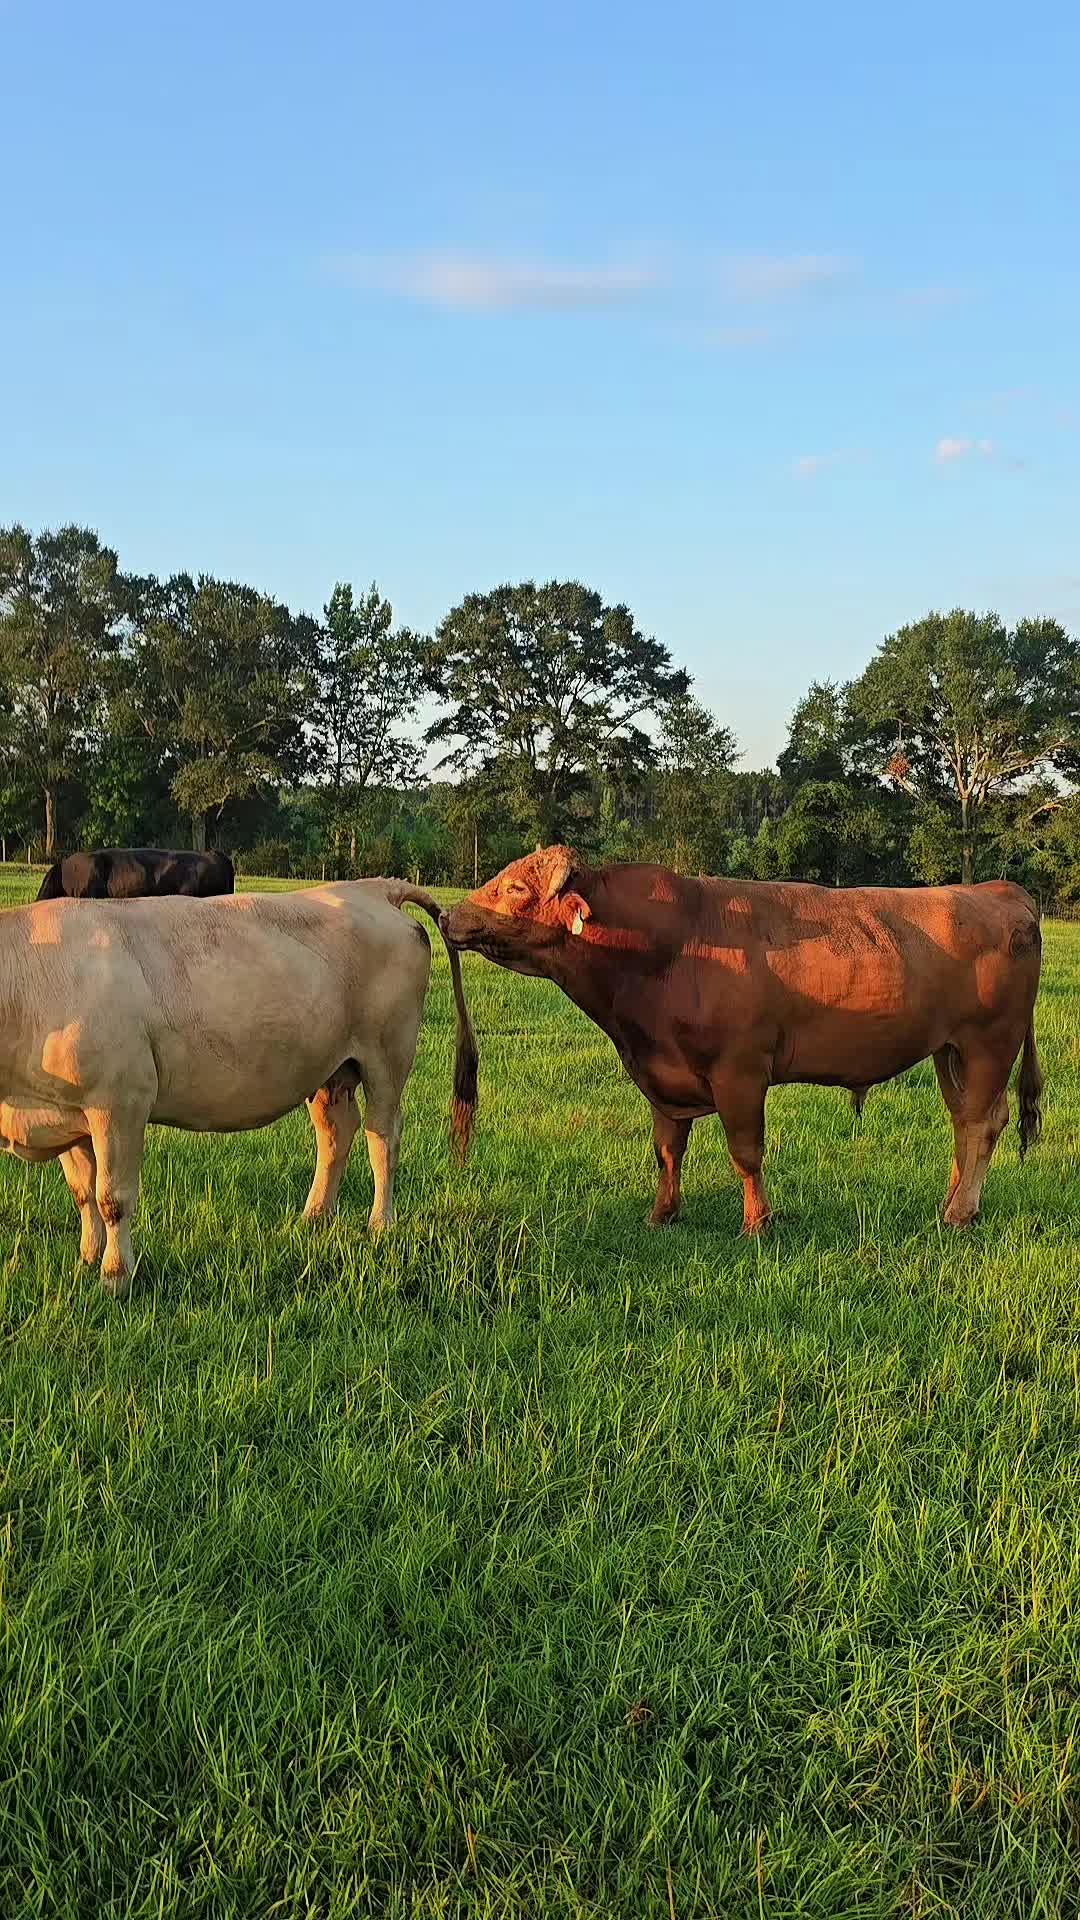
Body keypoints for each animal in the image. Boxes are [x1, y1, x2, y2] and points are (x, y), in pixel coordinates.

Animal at [0, 881, 477, 1297]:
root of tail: (374, 888)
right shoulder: (67, 1114)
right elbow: (83, 1194)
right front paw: (86, 1260)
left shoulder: (119, 1102)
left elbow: (112, 1197)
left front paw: (115, 1277)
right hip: (331, 1069)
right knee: (337, 1134)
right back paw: (313, 1218)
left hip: (387, 1059)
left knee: (384, 1138)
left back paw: (379, 1224)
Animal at [442, 847, 1043, 1235]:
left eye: (517, 888)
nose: (449, 915)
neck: (665, 950)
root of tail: (998, 891)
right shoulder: (663, 1076)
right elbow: (667, 1149)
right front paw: (661, 1215)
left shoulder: (741, 1073)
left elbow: (745, 1153)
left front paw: (757, 1222)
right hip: (949, 1052)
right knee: (963, 1123)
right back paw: (953, 1202)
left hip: (990, 1044)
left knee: (982, 1123)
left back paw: (959, 1213)